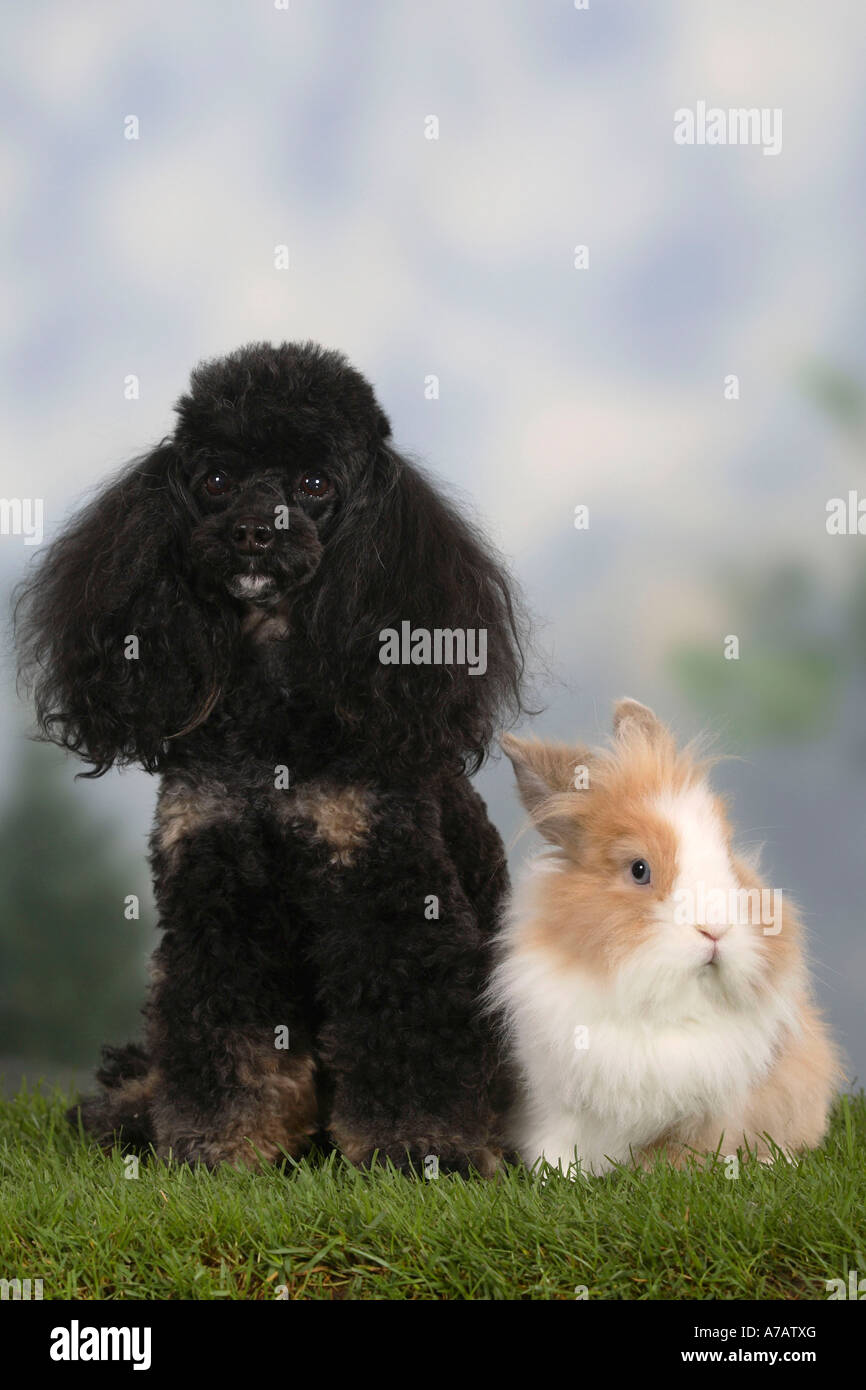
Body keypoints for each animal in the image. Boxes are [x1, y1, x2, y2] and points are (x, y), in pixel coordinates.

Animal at [489, 698, 843, 1175]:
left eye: (729, 856)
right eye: (639, 869)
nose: (715, 929)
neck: (665, 1009)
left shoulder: (716, 1109)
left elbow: (686, 1153)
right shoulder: (555, 1099)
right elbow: (557, 1146)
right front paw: (559, 1175)